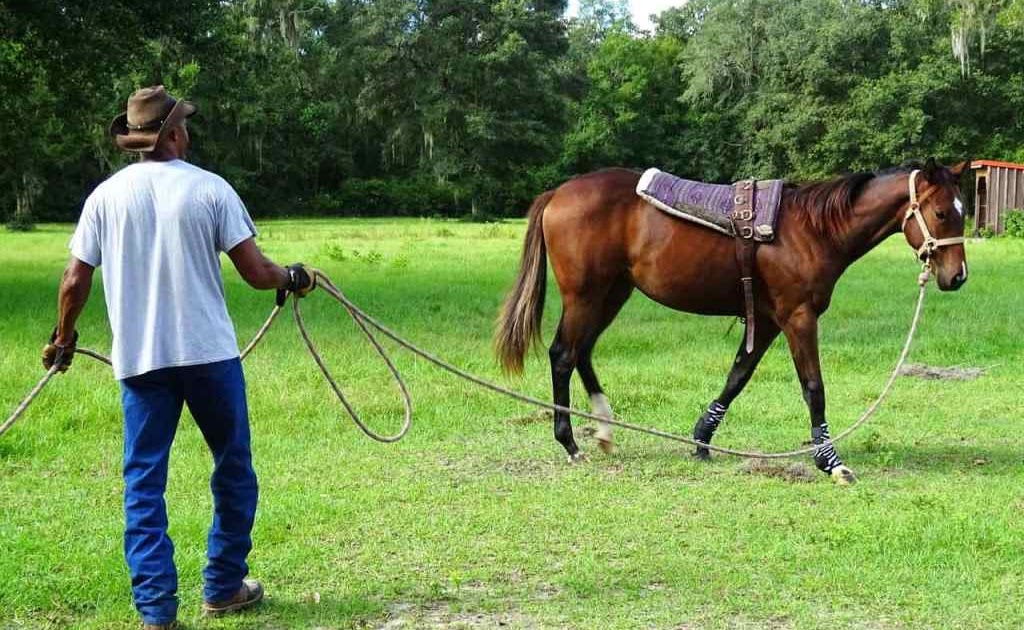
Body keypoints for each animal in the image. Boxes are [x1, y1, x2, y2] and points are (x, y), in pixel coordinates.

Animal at [494, 159, 968, 483]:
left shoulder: (769, 321)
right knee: (563, 354)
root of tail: (558, 193)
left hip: (612, 293)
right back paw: (570, 442)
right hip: (585, 296)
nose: (957, 277)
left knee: (582, 352)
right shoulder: (798, 317)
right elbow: (813, 388)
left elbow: (737, 377)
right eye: (943, 213)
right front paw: (830, 461)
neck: (812, 230)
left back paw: (605, 427)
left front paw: (701, 439)